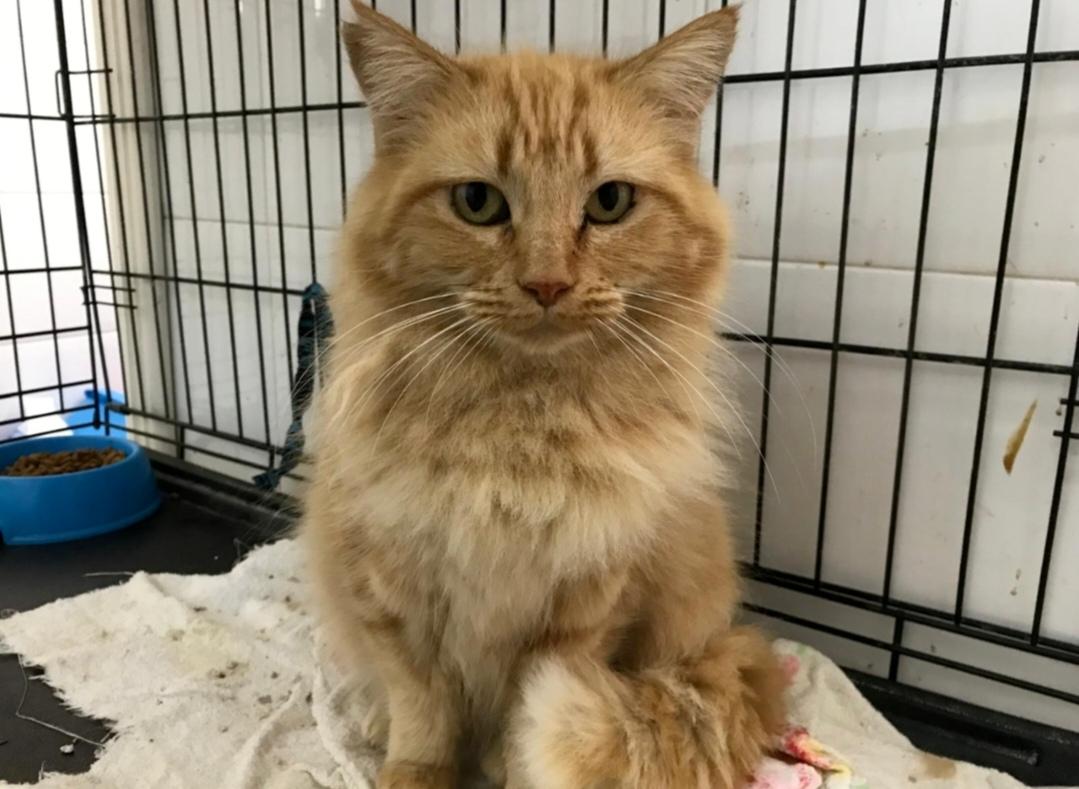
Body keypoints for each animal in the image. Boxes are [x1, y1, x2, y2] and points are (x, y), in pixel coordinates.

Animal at [305, 3, 786, 787]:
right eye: (477, 202)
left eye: (610, 202)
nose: (548, 284)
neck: (518, 428)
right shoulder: (390, 589)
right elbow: (422, 709)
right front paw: (413, 771)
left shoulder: (586, 604)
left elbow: (519, 718)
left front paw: (510, 770)